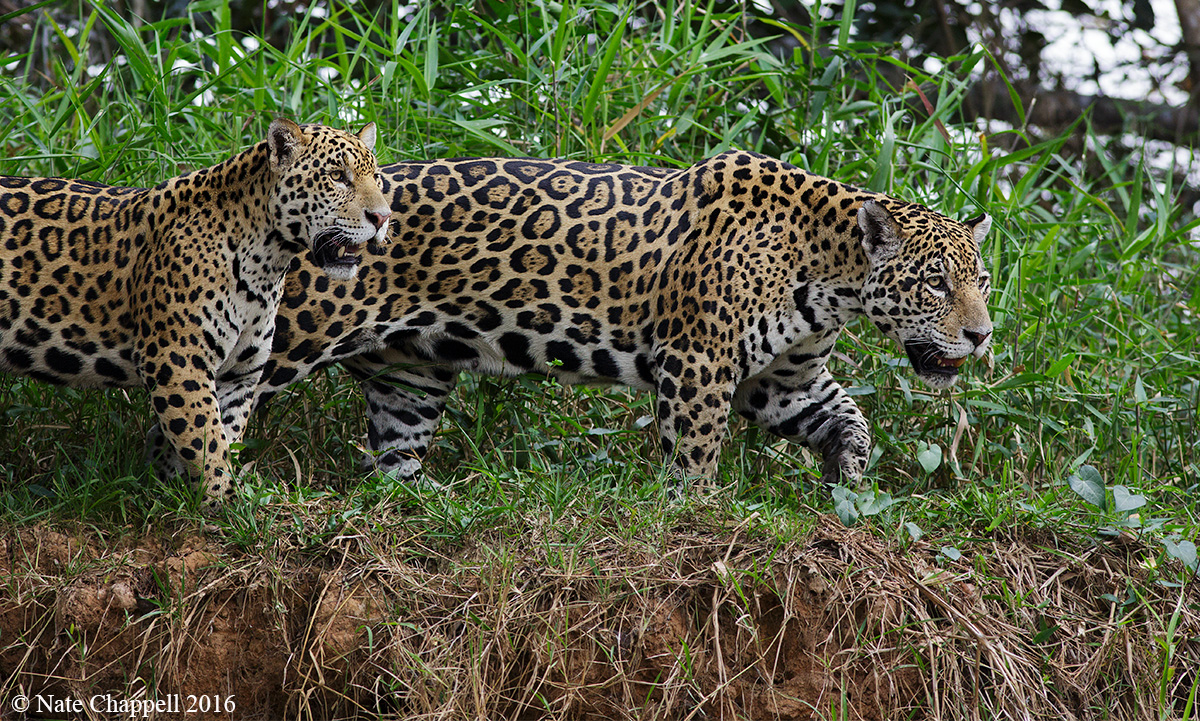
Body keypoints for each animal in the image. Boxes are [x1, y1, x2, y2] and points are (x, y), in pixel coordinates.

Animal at [1, 118, 391, 508]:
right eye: (338, 176)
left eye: (376, 177)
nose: (383, 217)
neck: (267, 262)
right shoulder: (176, 360)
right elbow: (205, 440)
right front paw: (225, 502)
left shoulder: (239, 374)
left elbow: (225, 434)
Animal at [148, 150, 994, 490]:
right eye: (936, 284)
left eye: (981, 282)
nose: (982, 334)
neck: (830, 274)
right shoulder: (699, 362)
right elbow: (695, 452)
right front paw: (696, 511)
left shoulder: (782, 381)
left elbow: (848, 414)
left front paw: (848, 478)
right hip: (281, 335)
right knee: (183, 407)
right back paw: (178, 494)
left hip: (409, 372)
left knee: (393, 452)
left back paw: (419, 502)